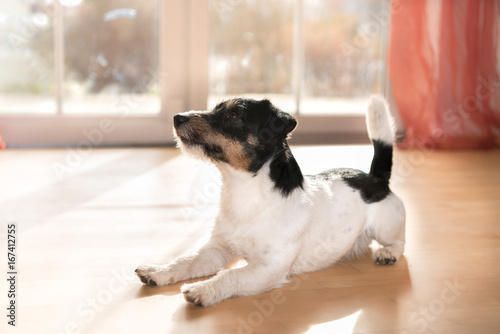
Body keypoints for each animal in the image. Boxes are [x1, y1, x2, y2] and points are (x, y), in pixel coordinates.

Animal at [137, 95, 406, 306]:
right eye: (215, 109)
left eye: (233, 114)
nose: (177, 117)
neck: (246, 194)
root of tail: (375, 177)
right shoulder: (216, 250)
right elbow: (186, 261)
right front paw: (158, 271)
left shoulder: (269, 267)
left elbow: (230, 276)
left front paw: (204, 289)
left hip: (386, 226)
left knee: (399, 242)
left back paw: (387, 253)